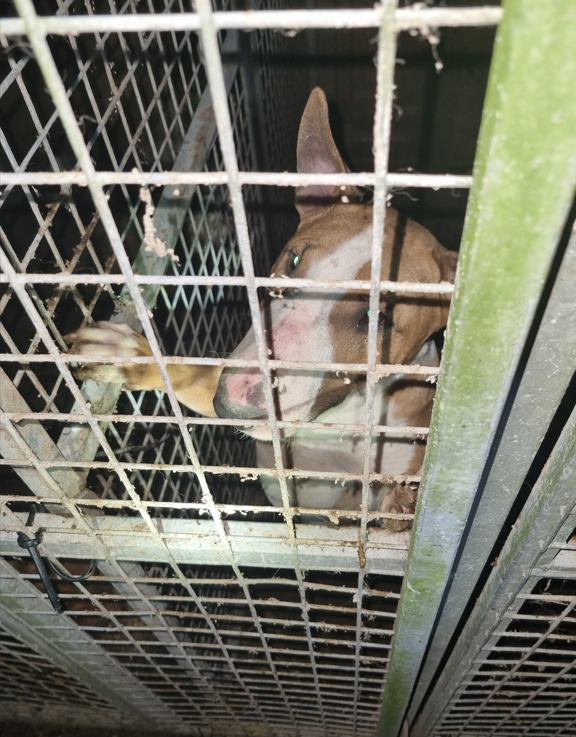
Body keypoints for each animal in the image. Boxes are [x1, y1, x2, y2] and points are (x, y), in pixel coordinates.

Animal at [66, 89, 454, 532]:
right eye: (294, 261)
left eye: (378, 318)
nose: (232, 404)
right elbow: (189, 375)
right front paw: (129, 356)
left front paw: (404, 502)